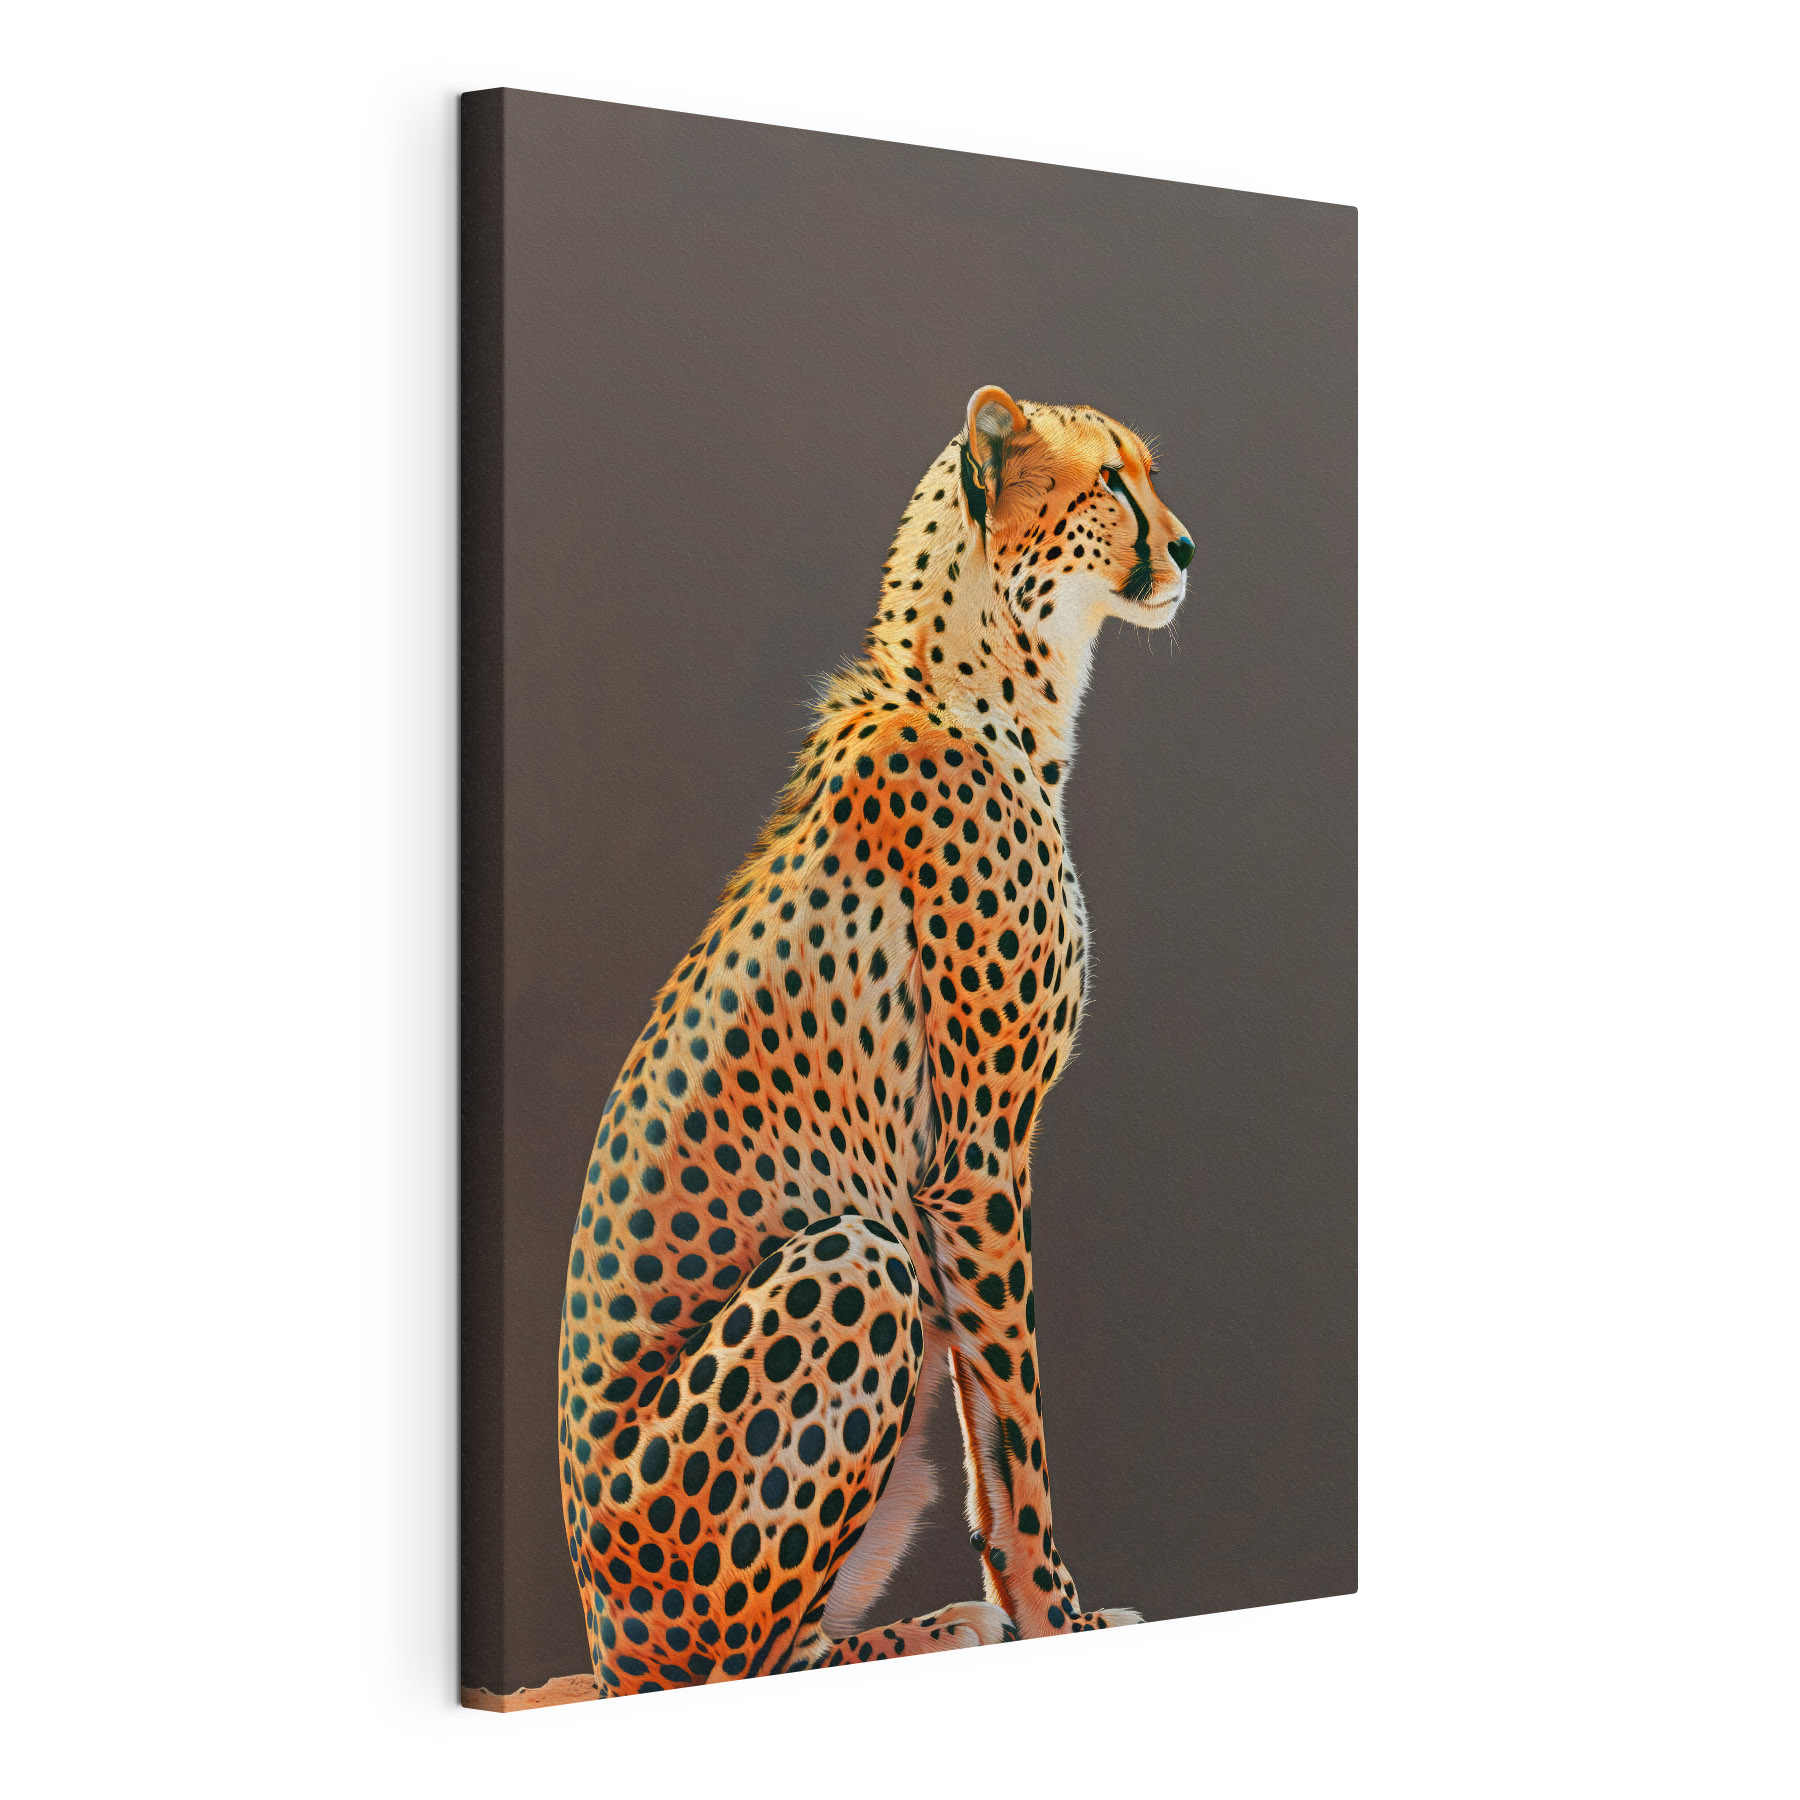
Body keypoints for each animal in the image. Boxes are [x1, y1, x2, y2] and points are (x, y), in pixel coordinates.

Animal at [558, 385, 1194, 1694]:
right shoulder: (976, 1160)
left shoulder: (962, 1179)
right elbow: (1019, 1428)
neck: (995, 684)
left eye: (1148, 474)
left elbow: (990, 1439)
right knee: (737, 1673)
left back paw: (932, 1627)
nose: (1191, 548)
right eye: (1112, 482)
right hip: (856, 1257)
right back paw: (932, 1633)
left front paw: (1037, 1609)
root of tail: (602, 1646)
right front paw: (1053, 1616)